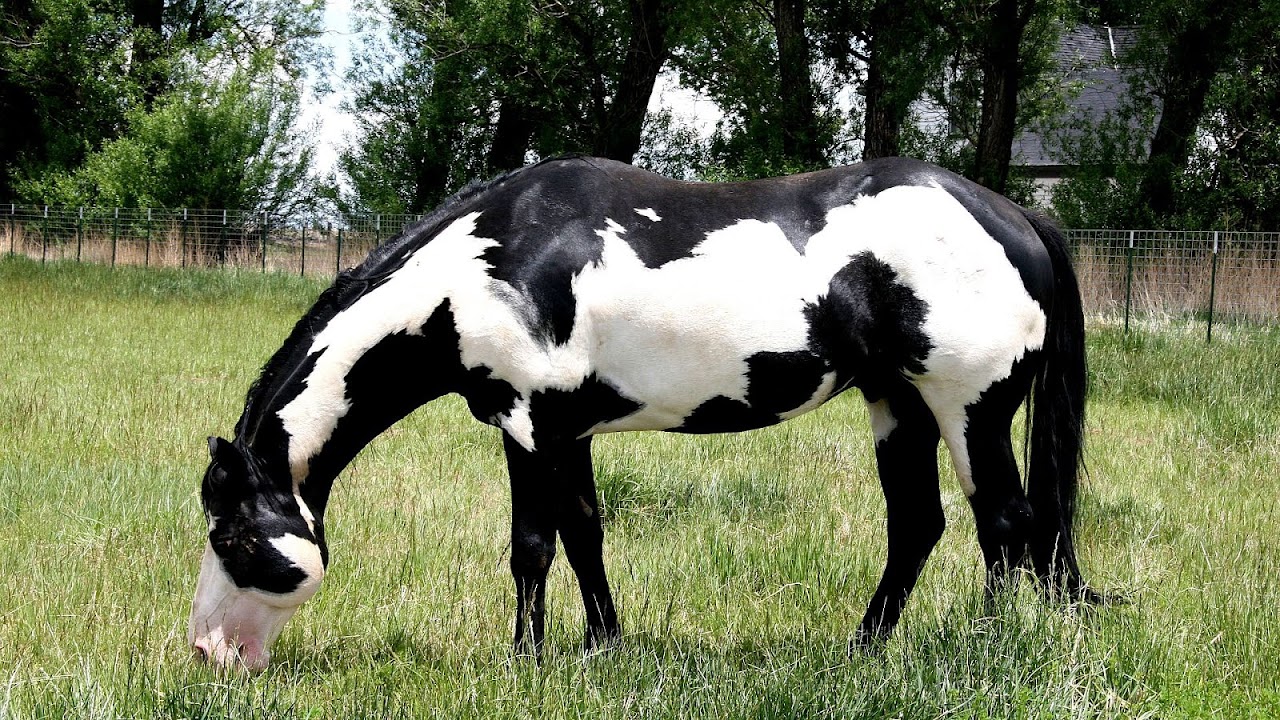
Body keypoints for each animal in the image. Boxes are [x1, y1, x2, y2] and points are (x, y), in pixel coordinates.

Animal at [188, 156, 1097, 670]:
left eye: (233, 542)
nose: (207, 653)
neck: (484, 265)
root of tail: (1017, 215)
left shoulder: (525, 424)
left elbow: (532, 546)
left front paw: (527, 659)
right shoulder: (567, 429)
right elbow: (585, 534)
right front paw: (603, 645)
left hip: (969, 408)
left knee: (1005, 524)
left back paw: (984, 648)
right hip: (898, 403)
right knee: (920, 526)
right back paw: (865, 648)